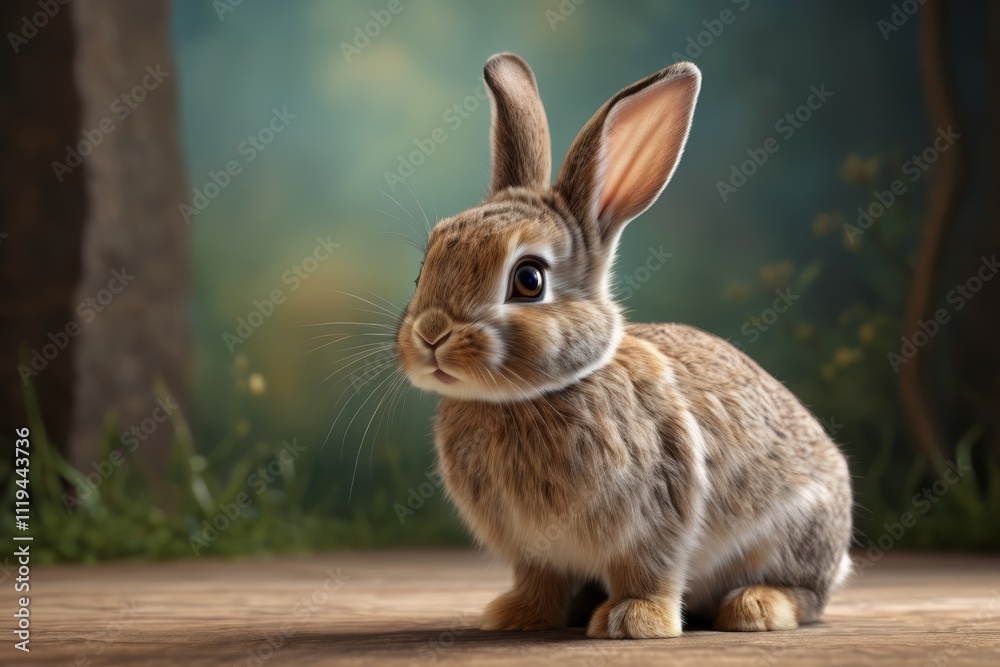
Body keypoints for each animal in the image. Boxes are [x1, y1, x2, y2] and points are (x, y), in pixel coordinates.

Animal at [396, 52, 853, 639]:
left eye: (529, 280)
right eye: (423, 268)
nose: (430, 335)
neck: (532, 397)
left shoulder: (659, 512)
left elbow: (650, 569)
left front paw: (634, 621)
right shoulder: (534, 551)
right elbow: (539, 580)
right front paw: (517, 616)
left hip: (798, 534)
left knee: (807, 593)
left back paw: (755, 607)